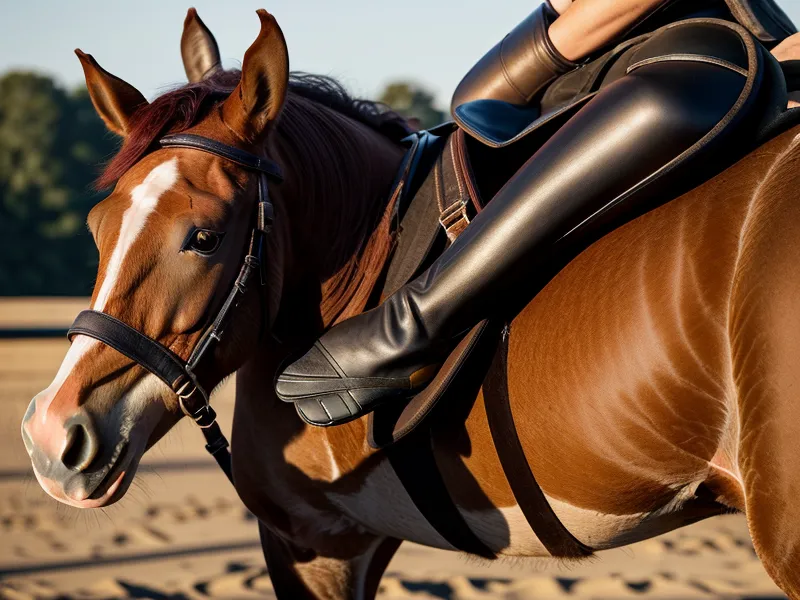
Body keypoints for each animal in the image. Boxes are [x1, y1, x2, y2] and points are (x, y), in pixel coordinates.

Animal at [19, 8, 800, 599]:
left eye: (204, 237)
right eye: (97, 228)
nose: (53, 437)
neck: (357, 264)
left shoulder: (315, 540)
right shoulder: (355, 541)